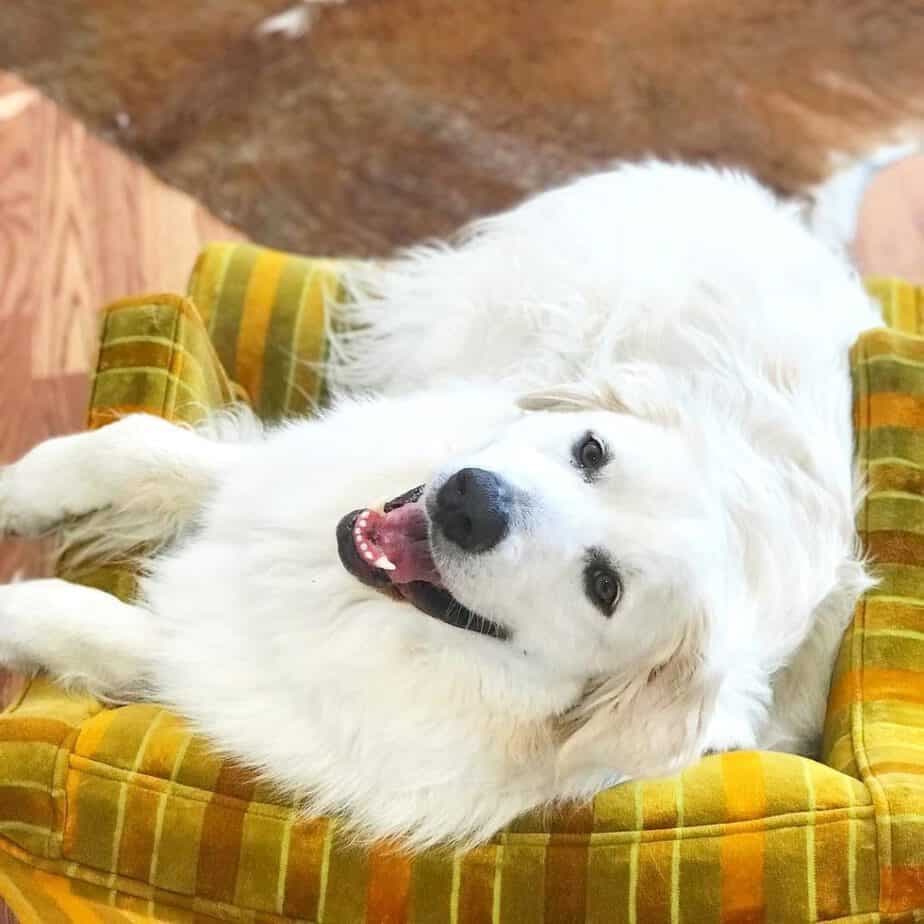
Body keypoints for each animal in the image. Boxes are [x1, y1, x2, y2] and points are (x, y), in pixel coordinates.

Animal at [0, 159, 880, 844]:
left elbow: (82, 618)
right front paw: (19, 492)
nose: (470, 504)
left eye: (605, 588)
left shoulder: (219, 667)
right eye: (590, 451)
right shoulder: (271, 475)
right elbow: (132, 447)